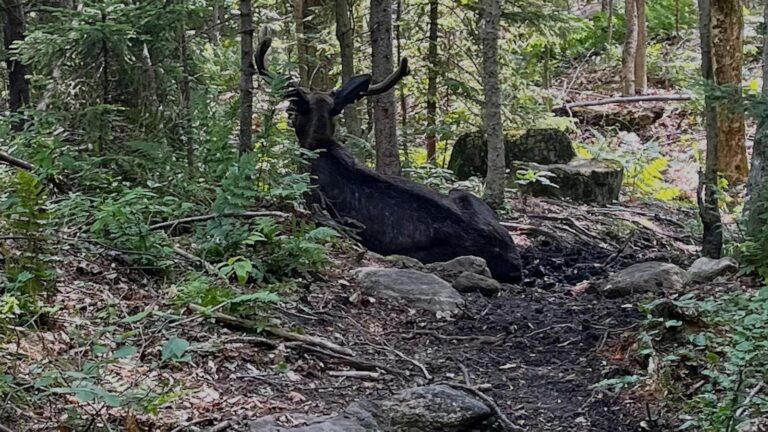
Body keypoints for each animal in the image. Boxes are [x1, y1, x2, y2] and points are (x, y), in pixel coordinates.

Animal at [255, 38, 523, 283]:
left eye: (295, 106)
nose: (288, 113)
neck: (319, 145)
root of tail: (513, 261)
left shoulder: (312, 200)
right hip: (464, 194)